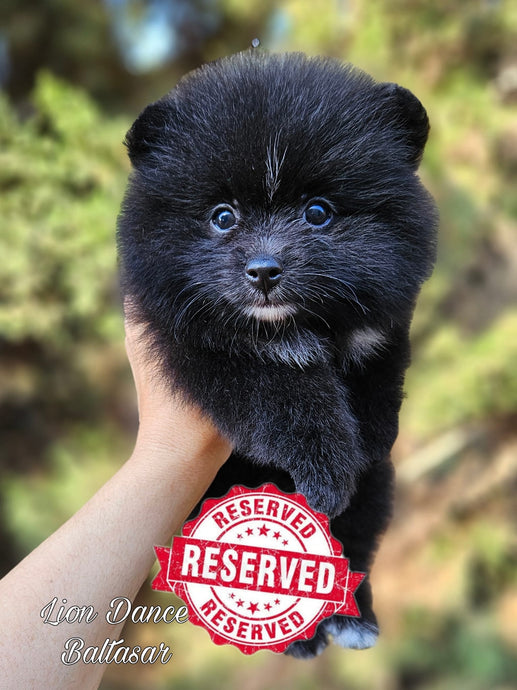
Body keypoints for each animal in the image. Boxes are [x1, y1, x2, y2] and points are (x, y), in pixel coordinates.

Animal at [117, 51, 436, 652]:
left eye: (318, 212)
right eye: (223, 217)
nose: (264, 270)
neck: (293, 323)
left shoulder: (380, 326)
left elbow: (382, 371)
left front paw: (374, 434)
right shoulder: (198, 342)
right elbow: (279, 393)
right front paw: (327, 466)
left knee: (351, 542)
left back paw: (351, 617)